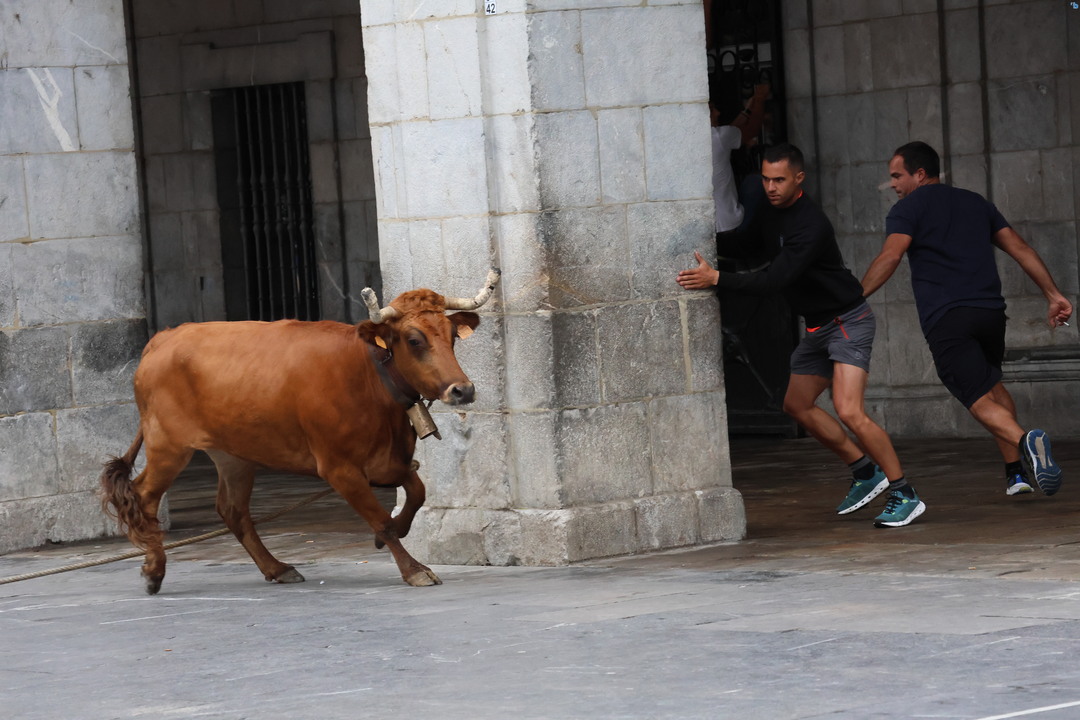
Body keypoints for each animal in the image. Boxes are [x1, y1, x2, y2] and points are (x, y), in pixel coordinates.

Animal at [100, 269, 500, 594]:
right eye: (415, 340)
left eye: (451, 336)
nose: (462, 390)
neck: (368, 375)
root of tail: (163, 339)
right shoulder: (339, 468)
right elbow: (381, 519)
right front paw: (413, 568)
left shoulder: (390, 460)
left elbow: (416, 494)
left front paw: (392, 533)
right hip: (168, 446)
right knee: (144, 497)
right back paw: (154, 570)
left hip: (233, 454)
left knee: (232, 510)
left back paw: (277, 568)